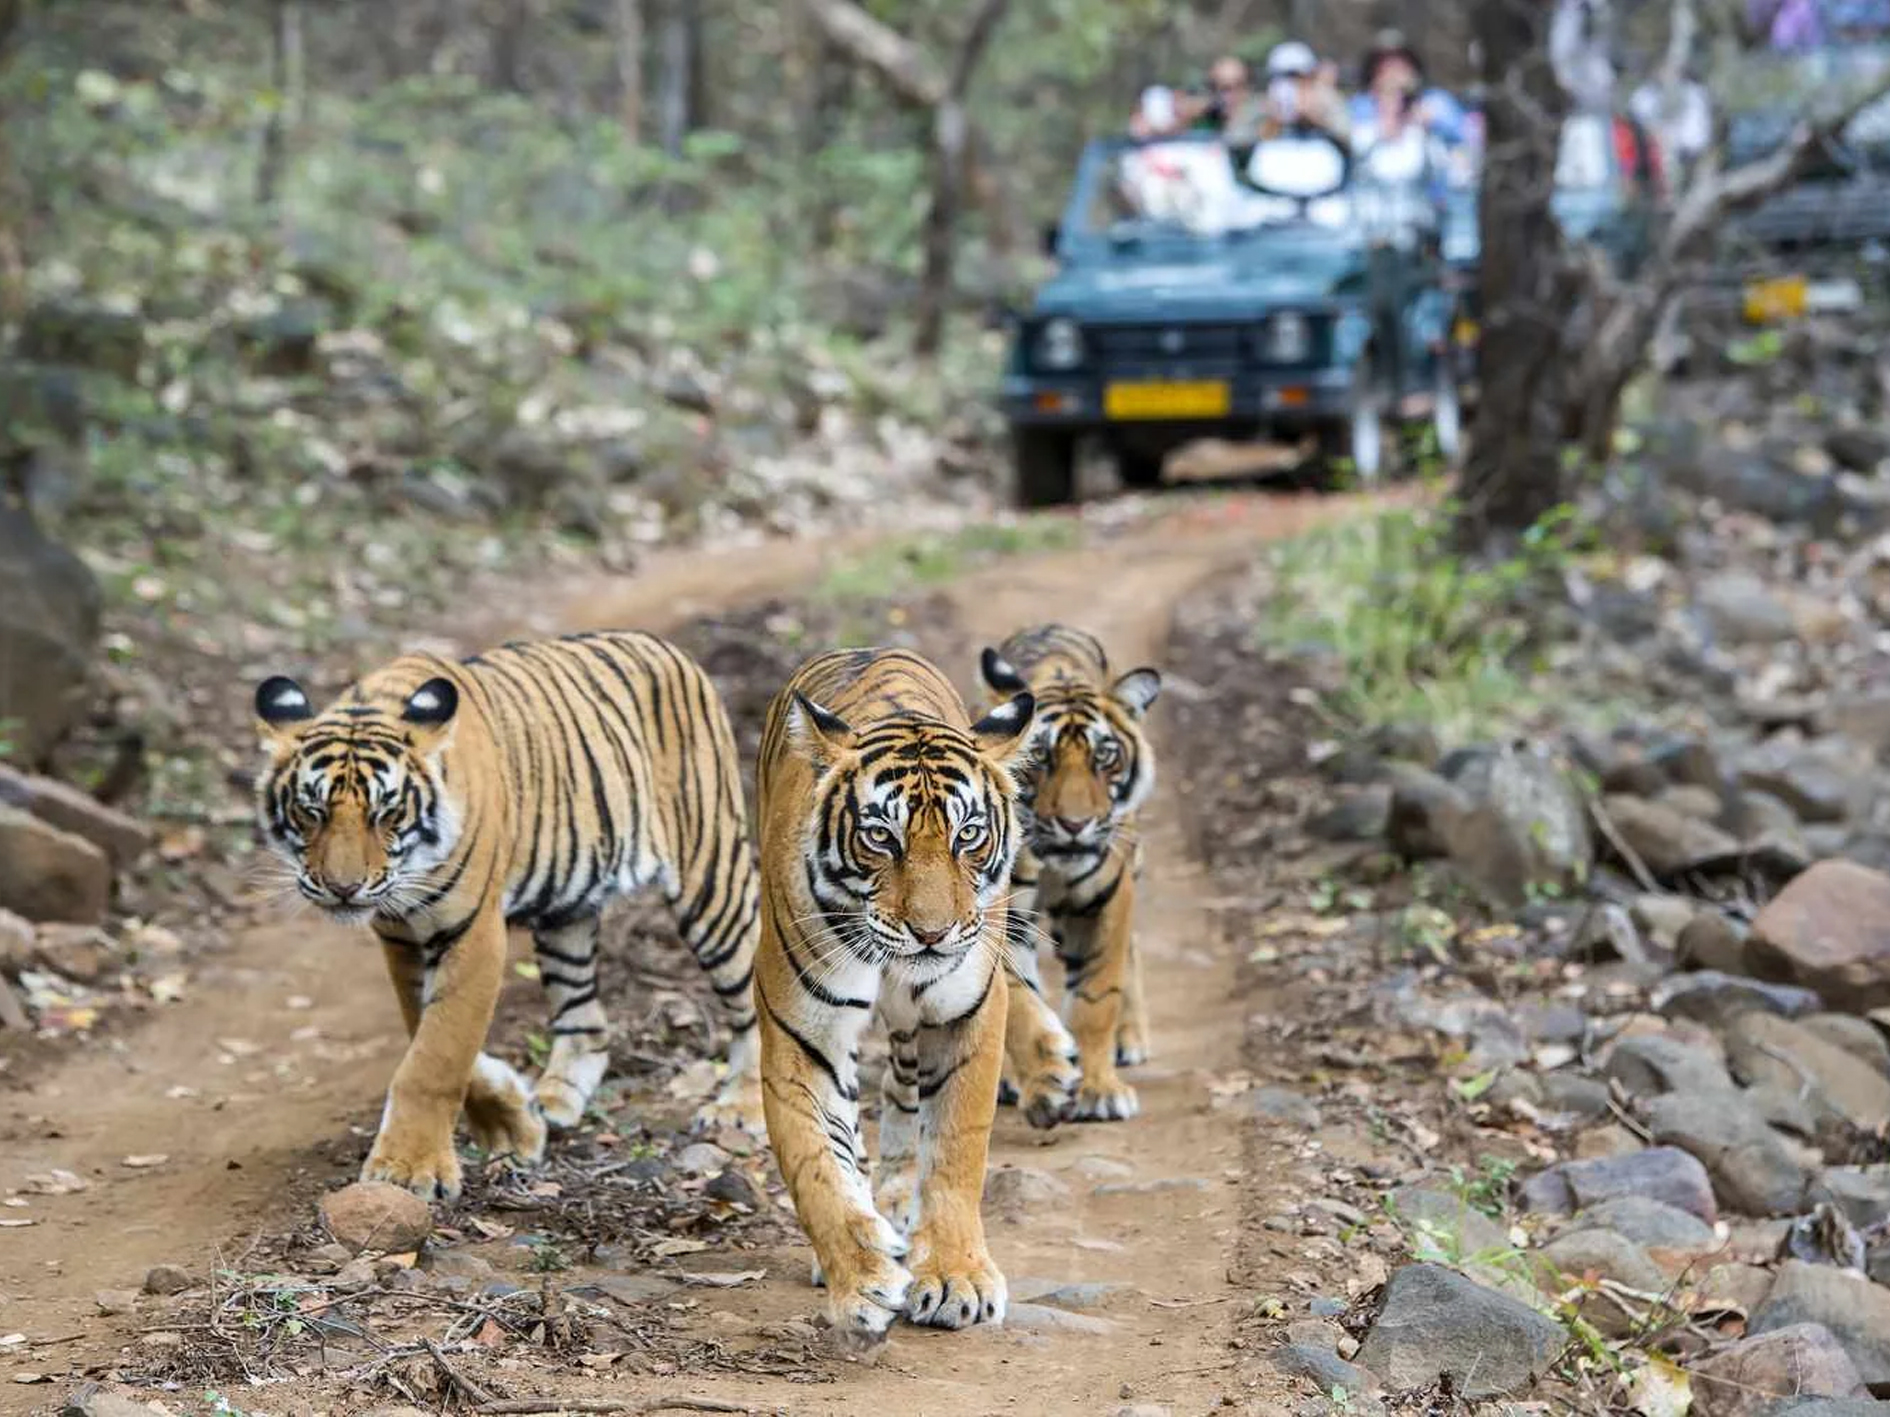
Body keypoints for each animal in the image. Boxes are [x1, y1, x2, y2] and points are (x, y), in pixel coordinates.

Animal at [255, 631, 763, 1201]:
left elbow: (438, 1054)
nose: (343, 889)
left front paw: (409, 1170)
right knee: (586, 1020)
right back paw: (556, 1100)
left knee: (752, 996)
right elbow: (426, 1032)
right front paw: (512, 1122)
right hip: (567, 911)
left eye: (387, 812)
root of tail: (665, 647)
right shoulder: (402, 939)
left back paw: (741, 1107)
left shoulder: (473, 932)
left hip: (712, 877)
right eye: (311, 811)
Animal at [748, 649, 1035, 1345]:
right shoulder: (802, 1034)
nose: (931, 933)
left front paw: (957, 1277)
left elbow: (956, 1149)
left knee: (905, 1090)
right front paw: (862, 1280)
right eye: (882, 838)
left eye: (968, 835)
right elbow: (818, 1165)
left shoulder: (966, 1014)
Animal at [982, 627, 1156, 1126]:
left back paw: (1130, 1039)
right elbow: (1018, 1001)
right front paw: (1046, 1082)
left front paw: (1101, 1090)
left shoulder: (1107, 899)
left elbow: (1097, 996)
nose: (1075, 825)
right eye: (1041, 756)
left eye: (1105, 756)